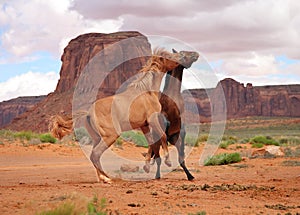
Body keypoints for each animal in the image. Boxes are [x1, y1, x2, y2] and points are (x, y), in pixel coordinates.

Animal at [50, 48, 189, 183]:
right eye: (168, 57)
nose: (181, 57)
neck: (147, 92)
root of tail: (89, 113)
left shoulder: (144, 125)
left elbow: (152, 143)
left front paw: (147, 166)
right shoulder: (152, 119)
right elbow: (163, 136)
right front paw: (168, 161)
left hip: (97, 138)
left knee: (94, 155)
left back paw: (103, 178)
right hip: (111, 135)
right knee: (95, 154)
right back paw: (107, 178)